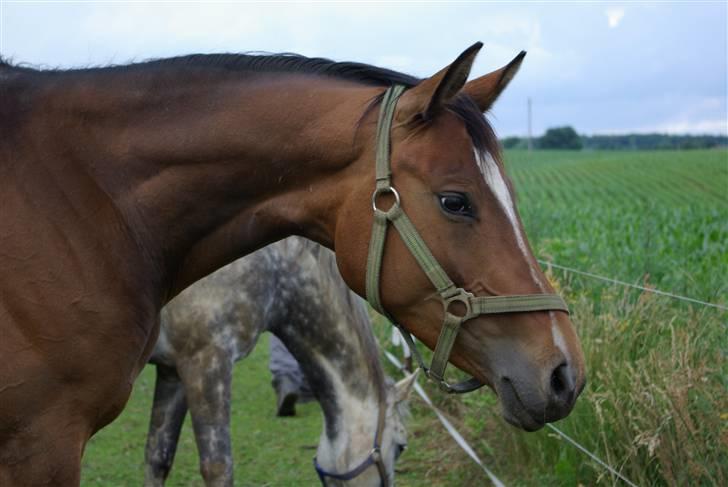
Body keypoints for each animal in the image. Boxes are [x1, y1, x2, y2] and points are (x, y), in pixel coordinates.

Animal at [146, 235, 416, 484]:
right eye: (401, 446)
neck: (272, 270)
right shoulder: (206, 363)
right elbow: (218, 467)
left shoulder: (172, 371)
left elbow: (158, 458)